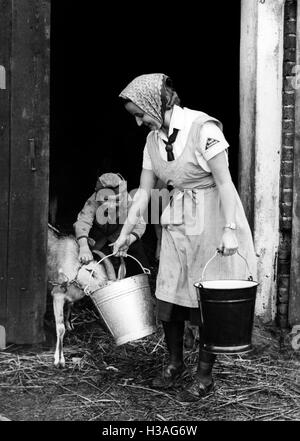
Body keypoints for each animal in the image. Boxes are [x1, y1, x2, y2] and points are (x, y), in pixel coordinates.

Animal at [47, 225, 116, 366]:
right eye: (91, 272)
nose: (97, 291)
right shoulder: (57, 294)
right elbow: (60, 328)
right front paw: (59, 360)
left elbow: (70, 305)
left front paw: (69, 324)